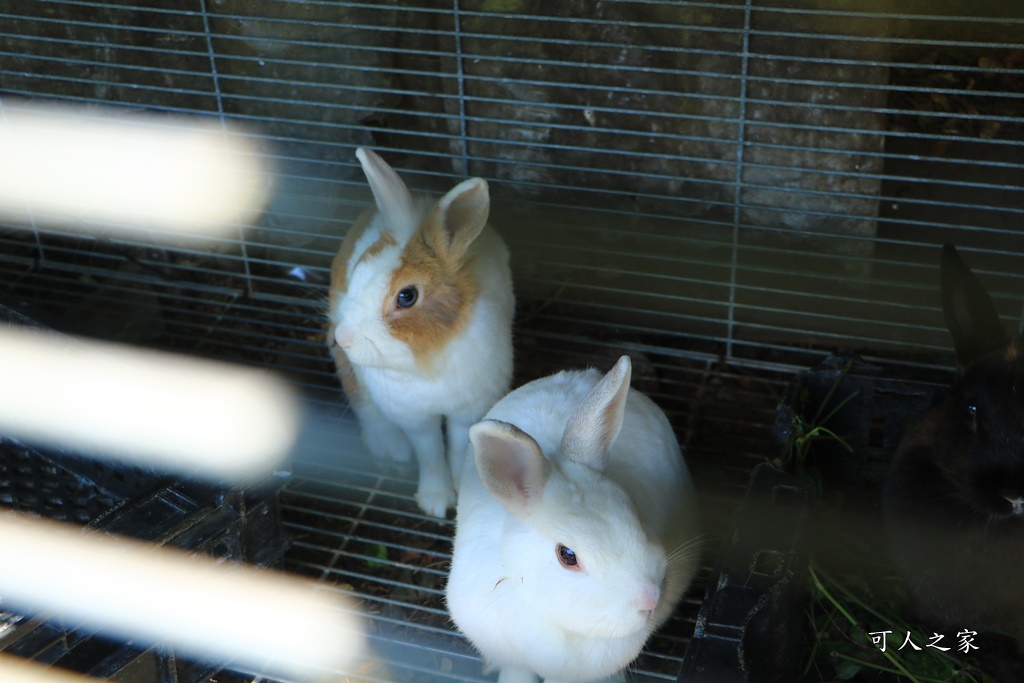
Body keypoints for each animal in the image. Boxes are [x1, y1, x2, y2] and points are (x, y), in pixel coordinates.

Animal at [327, 147, 516, 516]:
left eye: (407, 296)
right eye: (357, 275)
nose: (344, 339)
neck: (429, 354)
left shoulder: (469, 408)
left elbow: (458, 446)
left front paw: (460, 486)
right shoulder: (414, 416)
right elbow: (429, 452)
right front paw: (436, 500)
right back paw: (391, 450)